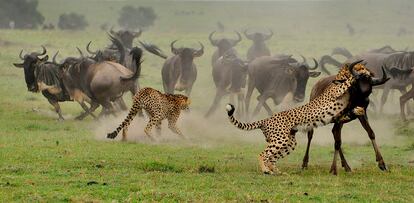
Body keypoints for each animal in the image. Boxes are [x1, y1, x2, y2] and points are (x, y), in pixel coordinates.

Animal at [226, 60, 372, 174]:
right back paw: (266, 170)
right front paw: (356, 76)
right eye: (361, 68)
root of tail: (266, 119)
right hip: (280, 139)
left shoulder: (339, 115)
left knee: (271, 158)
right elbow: (348, 81)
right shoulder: (337, 92)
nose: (369, 73)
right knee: (262, 154)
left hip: (288, 142)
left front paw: (359, 110)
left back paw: (276, 171)